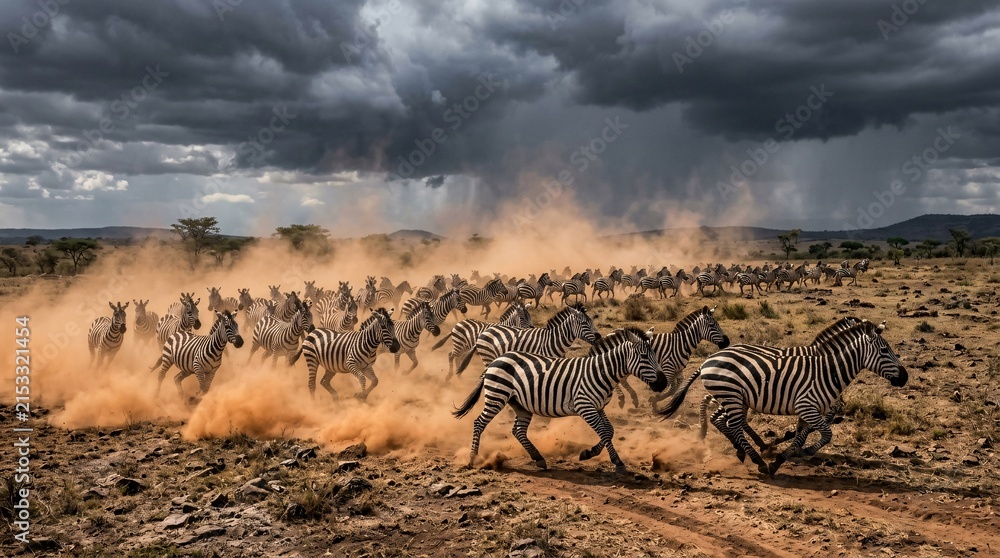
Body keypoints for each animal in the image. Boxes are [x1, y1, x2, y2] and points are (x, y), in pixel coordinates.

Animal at [453, 327, 668, 473]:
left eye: (655, 355)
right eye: (643, 356)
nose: (664, 383)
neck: (601, 372)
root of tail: (497, 359)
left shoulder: (598, 407)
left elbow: (609, 430)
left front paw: (590, 453)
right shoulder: (584, 406)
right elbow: (605, 432)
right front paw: (617, 462)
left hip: (521, 404)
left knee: (518, 431)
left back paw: (539, 459)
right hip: (497, 396)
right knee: (479, 422)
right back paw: (473, 458)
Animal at [456, 302, 601, 377]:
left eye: (592, 321)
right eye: (584, 323)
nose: (599, 337)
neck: (552, 340)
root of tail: (482, 333)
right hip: (488, 356)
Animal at [657, 319, 907, 476]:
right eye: (884, 351)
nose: (905, 377)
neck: (827, 371)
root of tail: (707, 360)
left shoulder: (809, 410)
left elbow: (802, 435)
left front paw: (784, 456)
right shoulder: (807, 406)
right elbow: (826, 433)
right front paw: (801, 451)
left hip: (735, 398)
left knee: (725, 421)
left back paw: (746, 450)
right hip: (730, 396)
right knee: (732, 424)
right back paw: (757, 459)